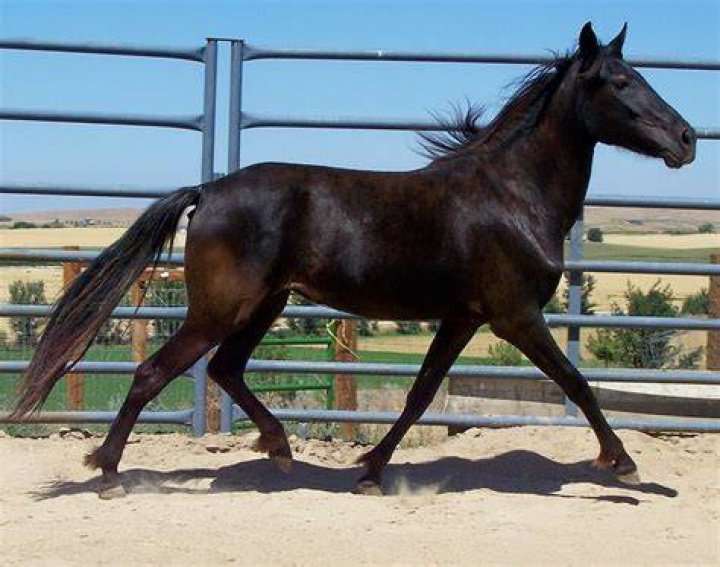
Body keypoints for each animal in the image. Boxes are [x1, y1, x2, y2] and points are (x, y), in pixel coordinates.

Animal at [12, 23, 696, 498]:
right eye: (619, 82)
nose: (687, 139)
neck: (511, 194)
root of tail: (209, 189)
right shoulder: (514, 315)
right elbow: (576, 381)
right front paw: (625, 465)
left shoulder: (463, 318)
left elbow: (420, 393)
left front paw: (370, 470)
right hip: (221, 309)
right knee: (155, 372)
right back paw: (108, 473)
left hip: (266, 304)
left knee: (228, 368)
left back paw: (279, 448)